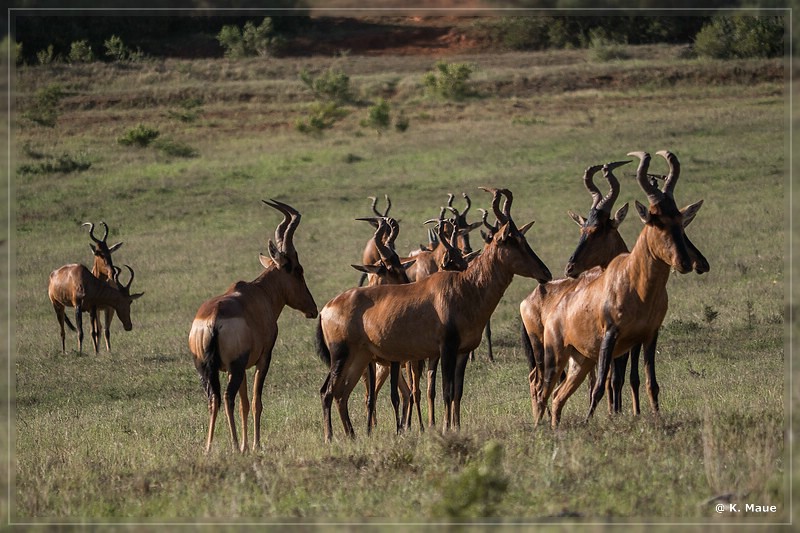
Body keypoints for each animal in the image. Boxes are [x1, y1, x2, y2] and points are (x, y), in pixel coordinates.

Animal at [83, 220, 124, 354]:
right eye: (98, 252)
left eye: (109, 251)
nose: (112, 272)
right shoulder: (93, 309)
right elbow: (94, 331)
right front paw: (96, 352)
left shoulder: (108, 308)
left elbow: (107, 330)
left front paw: (109, 351)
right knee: (97, 329)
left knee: (103, 328)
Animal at [189, 200, 318, 454]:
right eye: (298, 269)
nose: (313, 309)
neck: (259, 292)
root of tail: (211, 320)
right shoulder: (262, 358)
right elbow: (256, 401)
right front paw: (254, 444)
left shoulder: (239, 366)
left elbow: (245, 404)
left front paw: (246, 446)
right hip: (235, 367)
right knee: (226, 397)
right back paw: (232, 443)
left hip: (205, 367)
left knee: (213, 399)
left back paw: (208, 447)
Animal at [316, 187, 552, 440]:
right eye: (513, 241)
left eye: (523, 238)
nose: (545, 273)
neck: (464, 286)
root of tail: (326, 308)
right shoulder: (445, 349)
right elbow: (446, 391)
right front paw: (446, 428)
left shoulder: (461, 352)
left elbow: (457, 391)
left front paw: (455, 427)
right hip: (342, 356)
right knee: (327, 391)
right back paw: (330, 438)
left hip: (360, 357)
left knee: (342, 393)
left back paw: (351, 436)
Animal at [536, 151, 708, 428]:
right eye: (655, 221)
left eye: (680, 221)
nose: (686, 263)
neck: (635, 282)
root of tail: (554, 309)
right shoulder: (611, 336)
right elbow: (602, 386)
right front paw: (593, 421)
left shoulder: (648, 336)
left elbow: (649, 383)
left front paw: (654, 416)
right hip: (556, 356)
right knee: (543, 392)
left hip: (581, 362)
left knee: (557, 396)